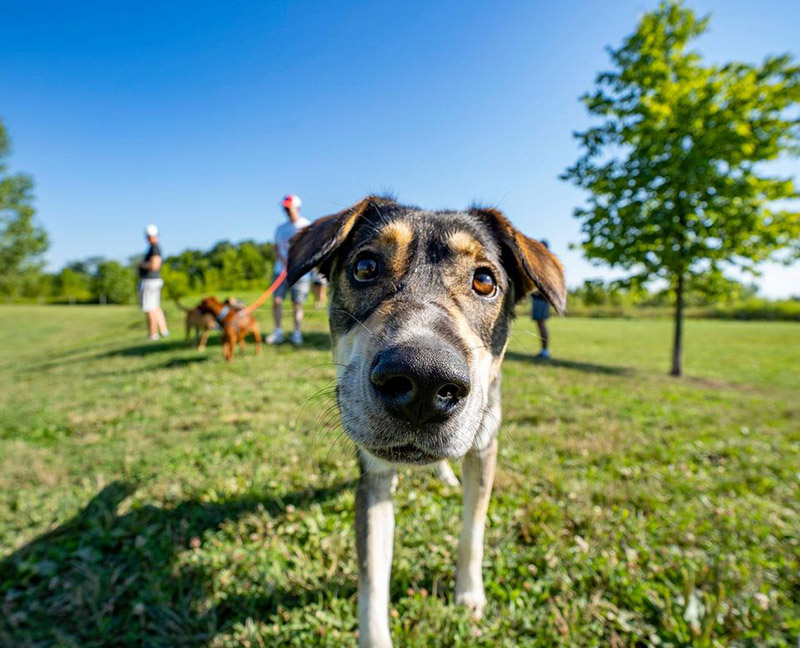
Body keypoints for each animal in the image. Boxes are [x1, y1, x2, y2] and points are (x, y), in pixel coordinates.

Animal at [286, 197, 564, 648]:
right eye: (366, 267)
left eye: (484, 281)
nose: (424, 380)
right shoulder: (373, 476)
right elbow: (372, 578)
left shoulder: (484, 445)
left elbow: (473, 531)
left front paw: (469, 597)